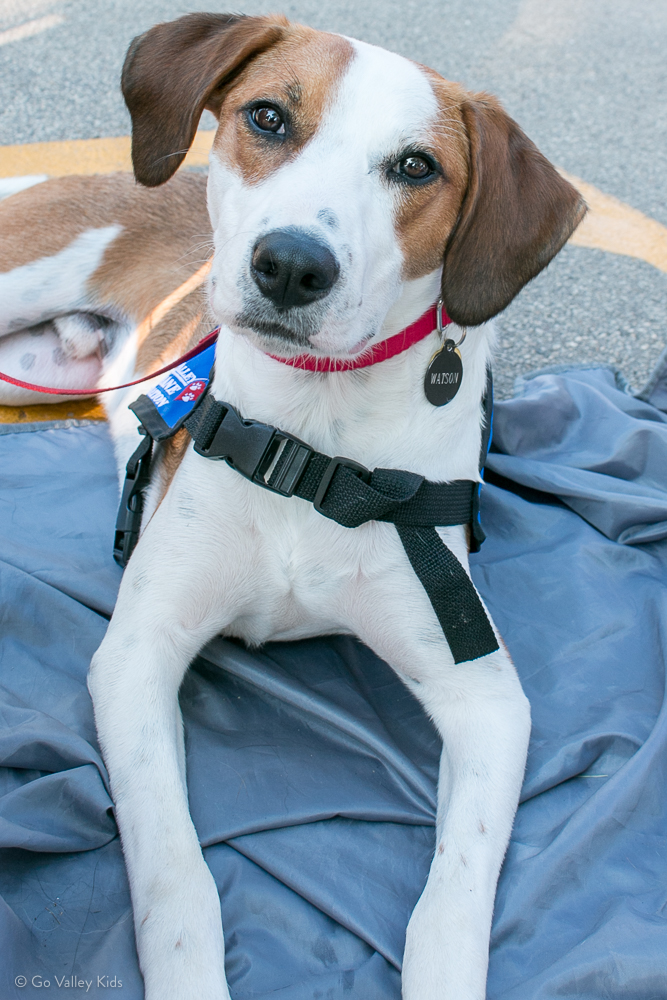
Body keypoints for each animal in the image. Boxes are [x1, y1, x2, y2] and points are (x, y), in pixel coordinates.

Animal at [0, 15, 584, 1000]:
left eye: (416, 167)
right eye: (268, 116)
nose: (289, 266)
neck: (310, 442)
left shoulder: (484, 697)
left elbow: (452, 898)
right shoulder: (137, 654)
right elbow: (176, 875)